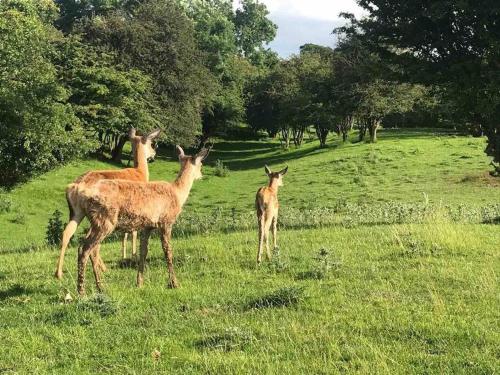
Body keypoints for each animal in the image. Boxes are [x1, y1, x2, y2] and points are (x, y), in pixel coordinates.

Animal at [53, 128, 159, 280]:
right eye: (151, 143)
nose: (154, 155)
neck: (140, 173)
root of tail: (76, 186)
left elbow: (126, 233)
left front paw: (125, 256)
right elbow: (133, 232)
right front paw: (133, 257)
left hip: (77, 212)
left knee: (68, 233)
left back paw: (59, 273)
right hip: (100, 213)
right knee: (90, 240)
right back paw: (101, 268)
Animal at [73, 145, 209, 296]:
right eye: (201, 164)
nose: (201, 175)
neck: (178, 193)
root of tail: (82, 195)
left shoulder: (147, 226)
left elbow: (143, 251)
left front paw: (139, 283)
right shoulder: (166, 221)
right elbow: (168, 252)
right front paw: (174, 283)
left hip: (96, 221)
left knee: (90, 248)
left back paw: (100, 287)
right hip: (105, 219)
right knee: (85, 249)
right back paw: (82, 291)